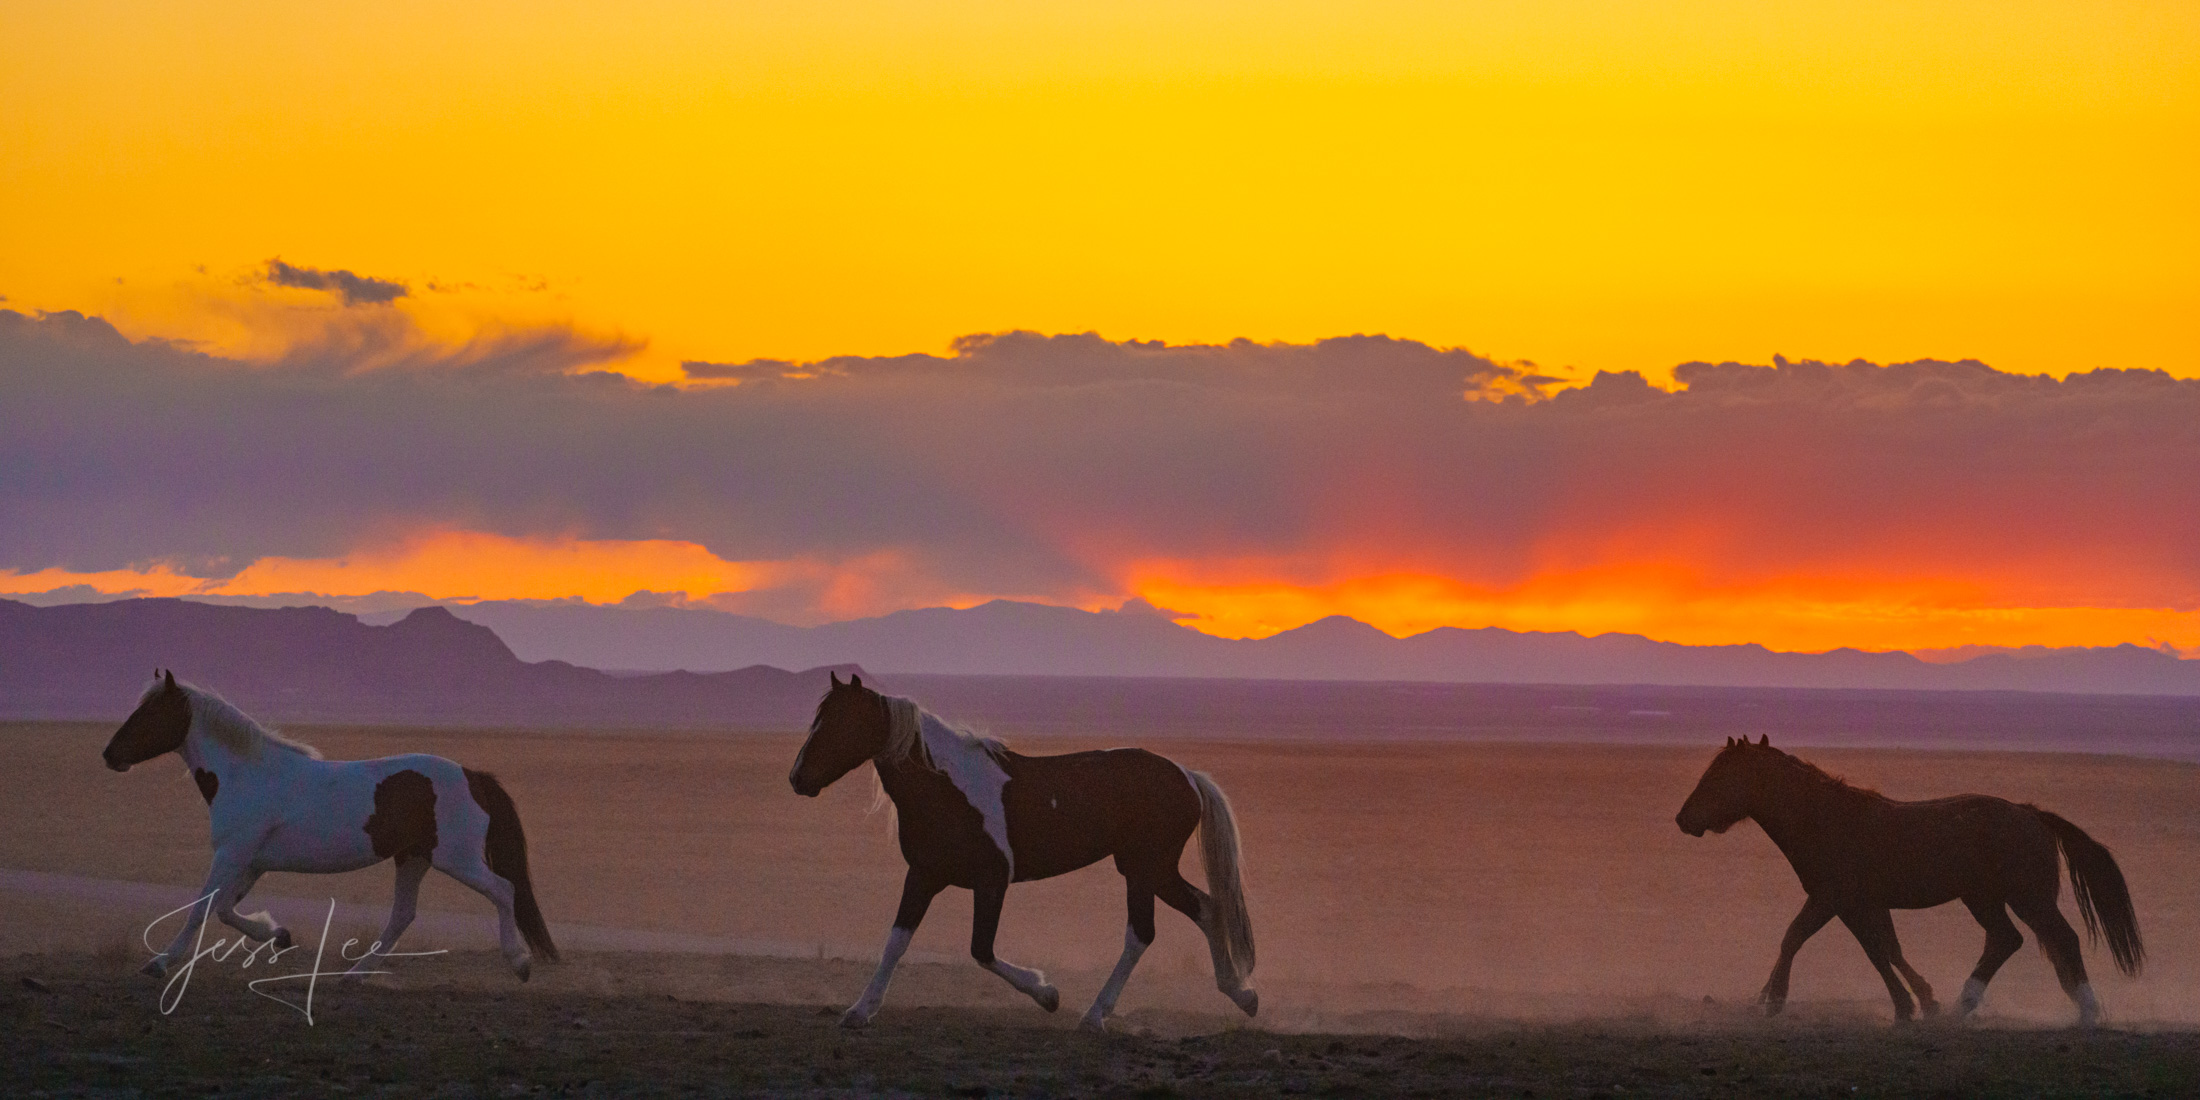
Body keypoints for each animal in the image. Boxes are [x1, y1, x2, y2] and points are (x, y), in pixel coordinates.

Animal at [103, 673, 558, 985]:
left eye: (151, 713)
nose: (109, 755)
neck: (247, 775)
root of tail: (472, 776)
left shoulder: (231, 854)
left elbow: (201, 908)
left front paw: (159, 963)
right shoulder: (251, 862)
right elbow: (224, 909)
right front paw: (278, 935)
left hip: (456, 859)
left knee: (503, 890)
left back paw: (519, 963)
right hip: (413, 858)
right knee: (403, 915)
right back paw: (356, 973)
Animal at [796, 668, 1267, 1029]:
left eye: (842, 722)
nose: (797, 778)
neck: (948, 788)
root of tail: (1188, 777)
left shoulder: (991, 882)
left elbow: (981, 950)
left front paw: (1048, 994)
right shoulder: (924, 876)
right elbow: (896, 942)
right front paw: (859, 1012)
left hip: (1145, 868)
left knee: (1146, 931)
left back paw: (1096, 1015)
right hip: (1151, 869)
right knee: (1200, 910)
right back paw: (1240, 996)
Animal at [1672, 734, 2138, 1025]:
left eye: (1719, 776)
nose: (1683, 819)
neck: (1826, 820)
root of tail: (2031, 815)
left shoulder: (1831, 899)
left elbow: (1797, 938)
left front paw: (1773, 1001)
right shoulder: (1860, 905)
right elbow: (1883, 950)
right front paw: (1916, 1004)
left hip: (2029, 899)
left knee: (2062, 938)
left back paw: (2087, 1011)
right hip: (1983, 899)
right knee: (2006, 940)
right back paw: (1960, 1007)